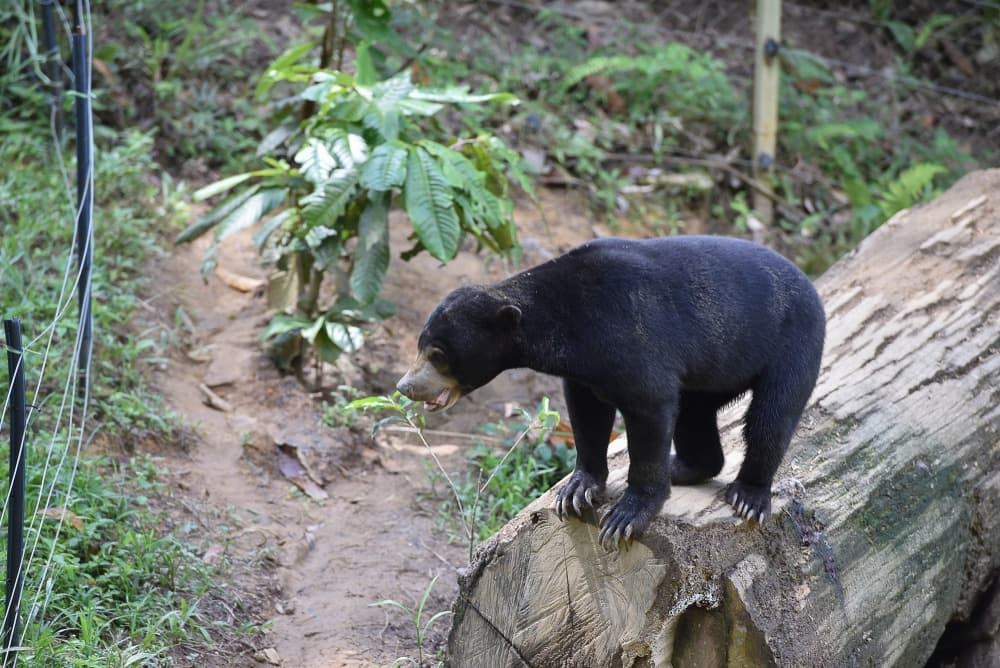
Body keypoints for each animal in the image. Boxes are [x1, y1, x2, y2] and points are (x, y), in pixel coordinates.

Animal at [396, 236, 825, 548]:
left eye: (439, 355)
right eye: (420, 346)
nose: (405, 386)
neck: (566, 325)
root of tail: (809, 284)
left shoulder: (632, 338)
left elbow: (650, 406)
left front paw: (626, 517)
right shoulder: (585, 372)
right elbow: (587, 416)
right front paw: (576, 490)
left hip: (793, 342)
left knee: (771, 417)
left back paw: (749, 496)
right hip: (715, 370)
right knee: (694, 412)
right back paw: (684, 467)